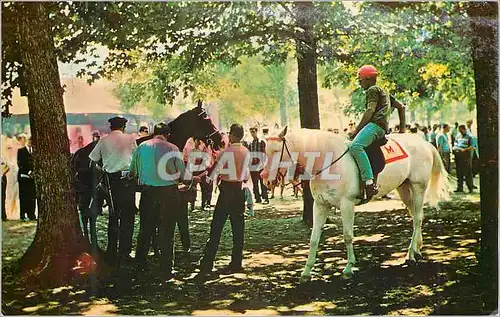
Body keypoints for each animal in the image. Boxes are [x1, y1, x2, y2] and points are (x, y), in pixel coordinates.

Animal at [262, 127, 450, 280]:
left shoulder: (347, 204)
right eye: (265, 150)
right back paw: (417, 248)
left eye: (277, 150)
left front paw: (348, 267)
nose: (265, 179)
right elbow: (314, 239)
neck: (327, 161)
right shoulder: (320, 205)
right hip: (404, 188)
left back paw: (411, 254)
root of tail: (424, 143)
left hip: (418, 188)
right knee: (416, 217)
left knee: (417, 219)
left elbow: (347, 236)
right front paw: (306, 271)